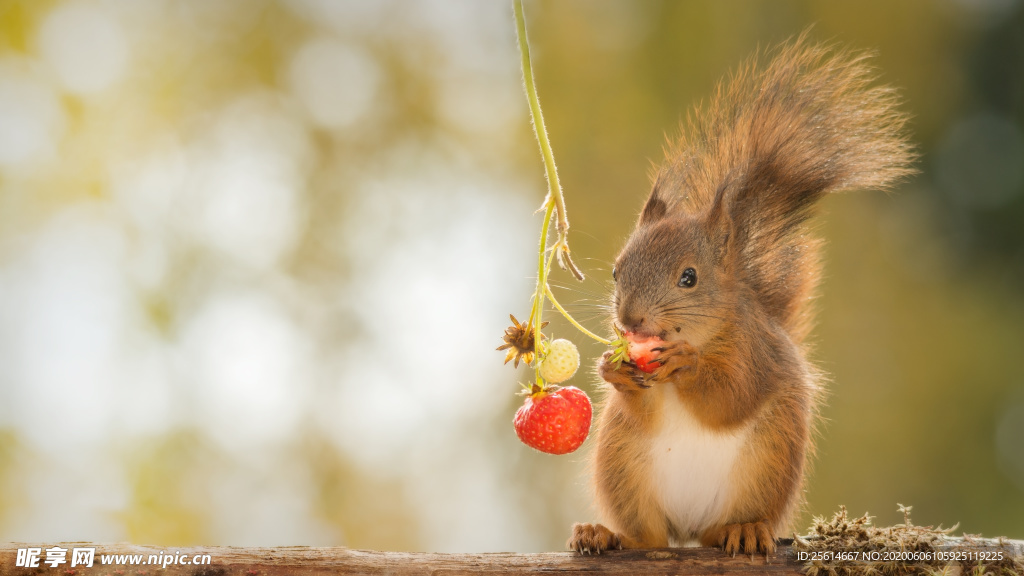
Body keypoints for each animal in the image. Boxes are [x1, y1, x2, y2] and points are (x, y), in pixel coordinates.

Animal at [569, 36, 913, 557]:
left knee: (724, 525)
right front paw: (613, 369)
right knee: (648, 536)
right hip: (622, 464)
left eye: (689, 277)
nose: (629, 322)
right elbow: (642, 409)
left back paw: (744, 531)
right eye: (615, 272)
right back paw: (606, 534)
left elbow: (731, 397)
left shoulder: (754, 353)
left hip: (767, 464)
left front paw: (687, 365)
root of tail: (689, 529)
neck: (703, 334)